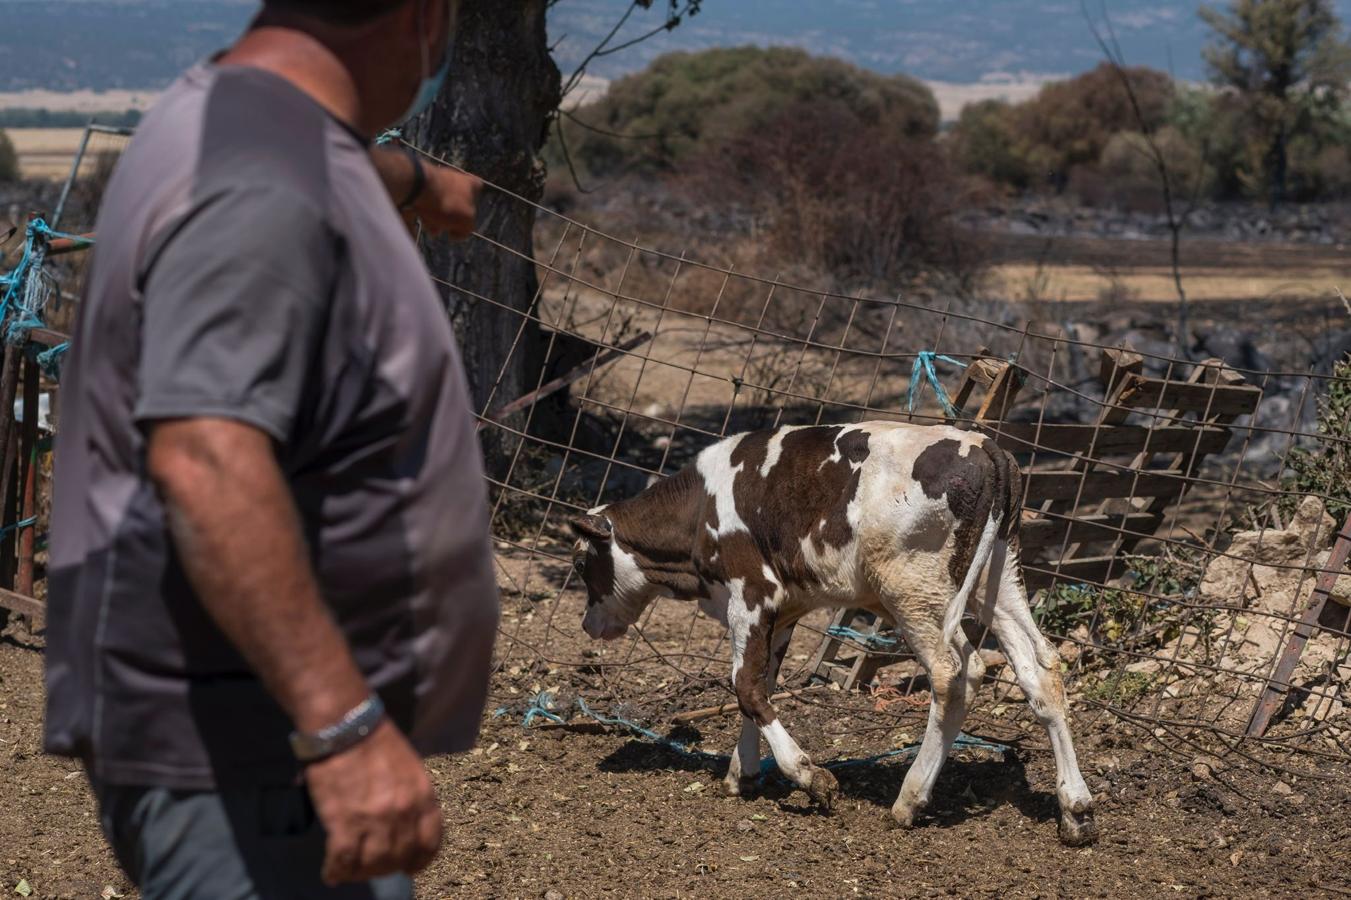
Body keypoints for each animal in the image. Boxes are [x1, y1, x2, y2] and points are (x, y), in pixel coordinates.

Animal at [570, 421, 1097, 843]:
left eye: (579, 564)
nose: (587, 624)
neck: (701, 508)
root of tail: (987, 448)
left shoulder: (750, 593)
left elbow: (745, 686)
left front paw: (807, 775)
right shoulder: (783, 610)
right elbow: (762, 684)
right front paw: (743, 772)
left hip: (914, 591)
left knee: (955, 673)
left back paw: (909, 799)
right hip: (998, 579)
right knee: (1041, 669)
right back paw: (1075, 809)